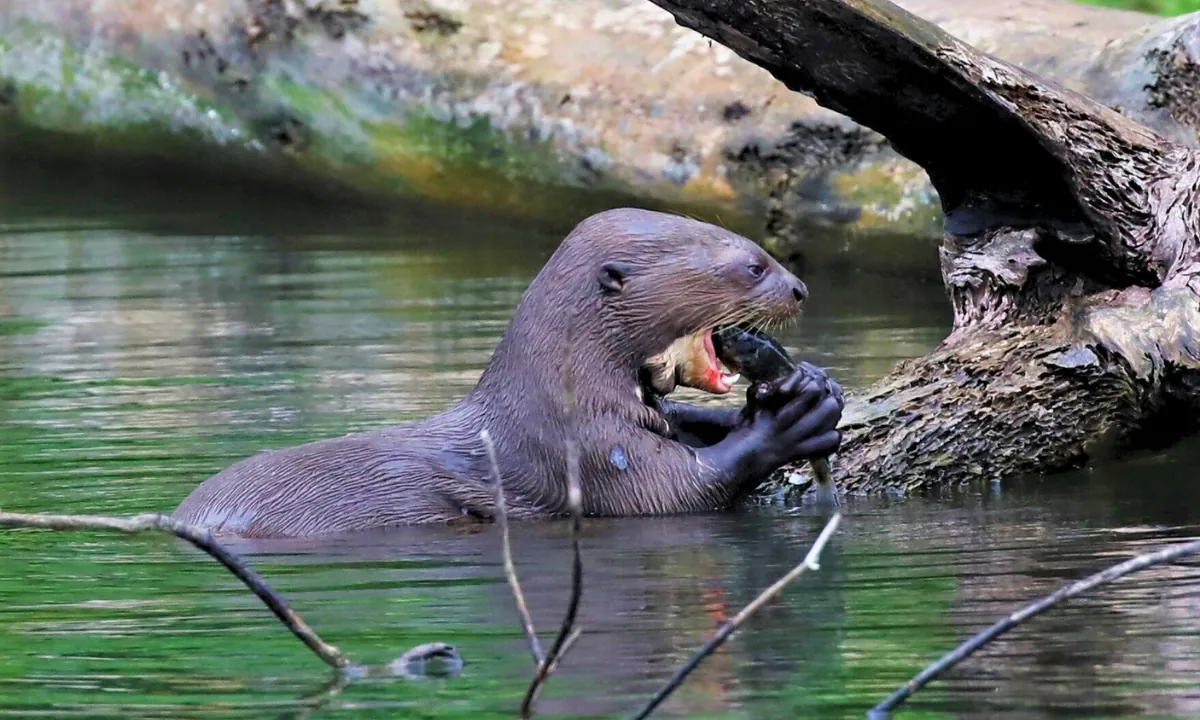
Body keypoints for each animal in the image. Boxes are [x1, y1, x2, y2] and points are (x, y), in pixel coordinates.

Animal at [173, 208, 844, 538]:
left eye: (763, 251)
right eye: (752, 266)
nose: (801, 288)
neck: (564, 394)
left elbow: (684, 420)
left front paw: (815, 388)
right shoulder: (588, 450)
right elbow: (680, 490)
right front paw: (790, 419)